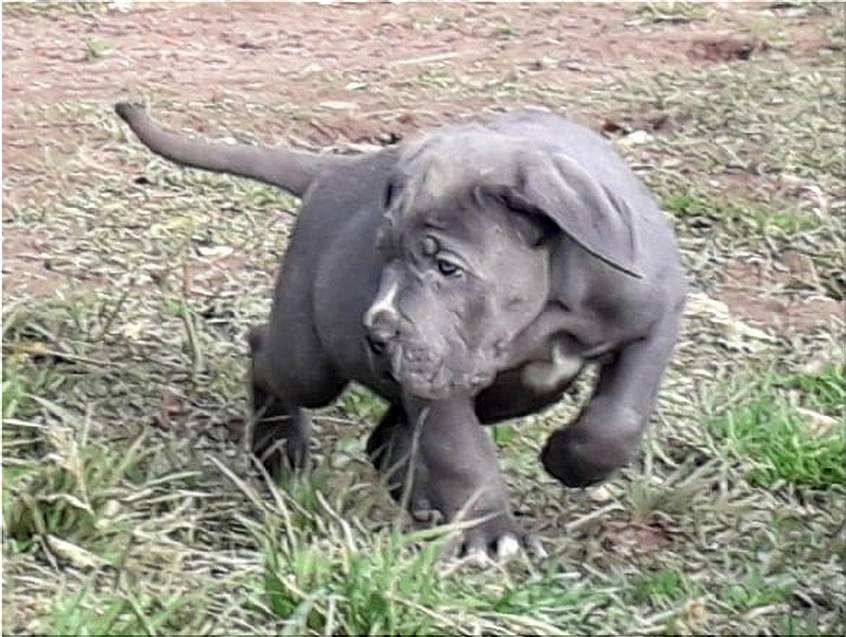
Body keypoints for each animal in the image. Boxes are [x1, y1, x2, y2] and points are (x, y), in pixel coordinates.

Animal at [116, 103, 686, 561]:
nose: (378, 333)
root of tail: (335, 169)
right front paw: (492, 535)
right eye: (382, 252)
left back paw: (421, 505)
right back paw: (279, 453)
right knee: (269, 354)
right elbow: (461, 454)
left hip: (506, 393)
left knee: (387, 437)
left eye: (448, 268)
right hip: (312, 362)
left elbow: (618, 420)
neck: (549, 305)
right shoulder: (441, 369)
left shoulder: (656, 318)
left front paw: (569, 460)